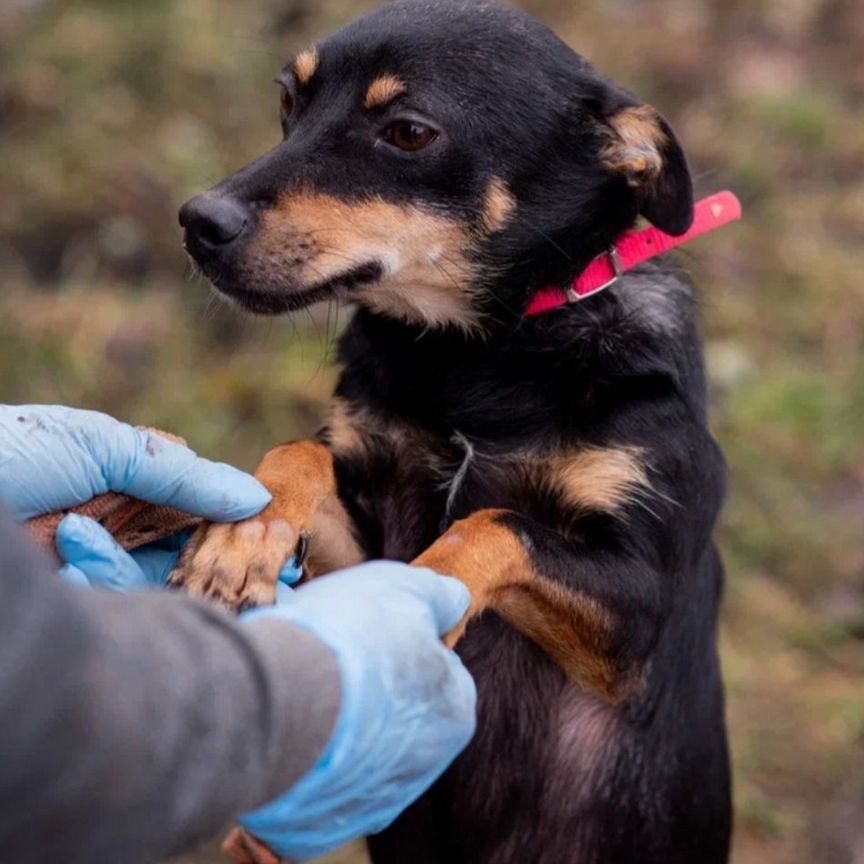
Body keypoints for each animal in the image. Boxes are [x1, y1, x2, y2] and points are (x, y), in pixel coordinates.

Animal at [172, 3, 732, 860]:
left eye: (408, 133)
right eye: (289, 101)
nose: (198, 222)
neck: (482, 359)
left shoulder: (636, 634)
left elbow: (488, 523)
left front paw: (420, 607)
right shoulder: (363, 526)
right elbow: (297, 452)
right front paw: (241, 541)